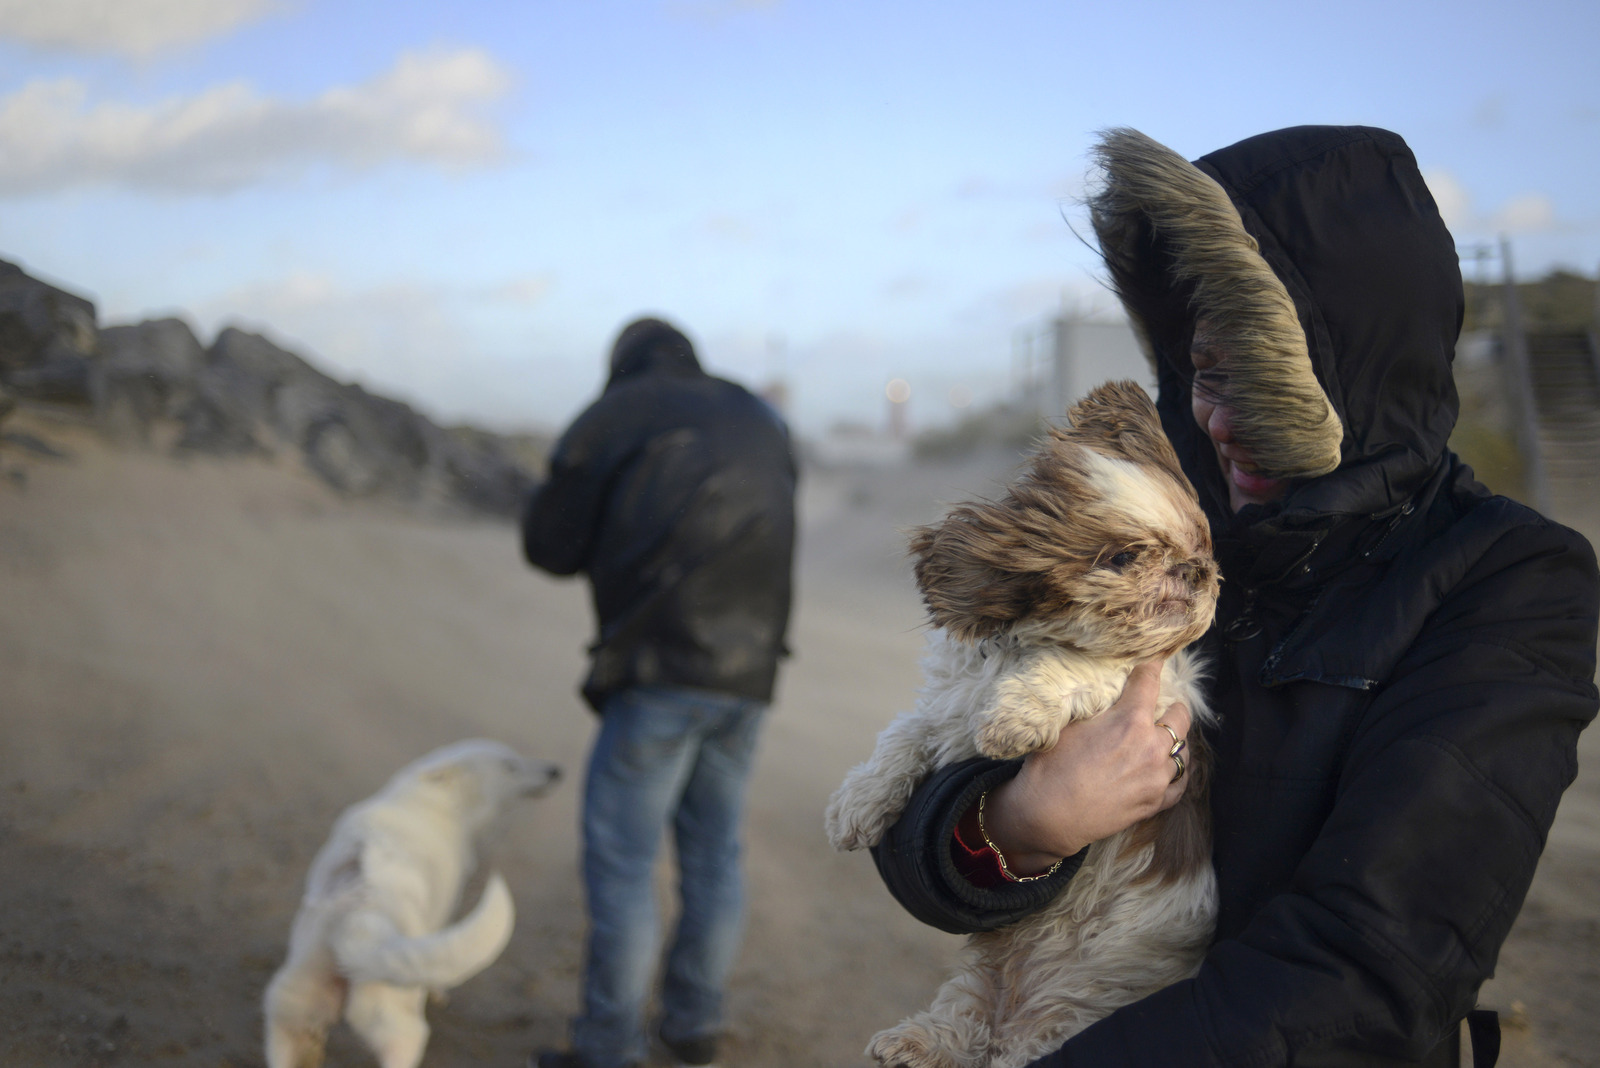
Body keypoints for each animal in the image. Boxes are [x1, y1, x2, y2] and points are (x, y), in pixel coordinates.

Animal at [264, 738, 563, 1068]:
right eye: (510, 765)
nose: (556, 771)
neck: (441, 799)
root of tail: (359, 917)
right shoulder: (441, 915)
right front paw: (438, 991)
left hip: (292, 1018)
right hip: (399, 1027)